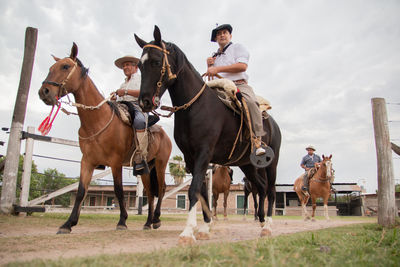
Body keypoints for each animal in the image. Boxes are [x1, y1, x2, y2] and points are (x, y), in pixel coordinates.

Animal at [38, 43, 173, 233]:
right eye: (51, 68)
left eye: (65, 66)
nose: (44, 91)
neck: (97, 120)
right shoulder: (87, 161)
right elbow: (81, 191)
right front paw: (68, 224)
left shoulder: (115, 162)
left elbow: (118, 190)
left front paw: (122, 221)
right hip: (146, 167)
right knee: (150, 192)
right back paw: (147, 223)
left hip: (161, 163)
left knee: (160, 189)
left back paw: (156, 220)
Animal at [134, 26, 282, 244]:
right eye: (139, 65)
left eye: (156, 61)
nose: (144, 102)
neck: (195, 107)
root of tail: (272, 122)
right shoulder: (191, 158)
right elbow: (203, 192)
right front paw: (204, 227)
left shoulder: (204, 153)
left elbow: (194, 190)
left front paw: (188, 232)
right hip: (247, 165)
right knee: (261, 187)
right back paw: (262, 223)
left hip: (272, 163)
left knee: (271, 190)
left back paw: (269, 226)